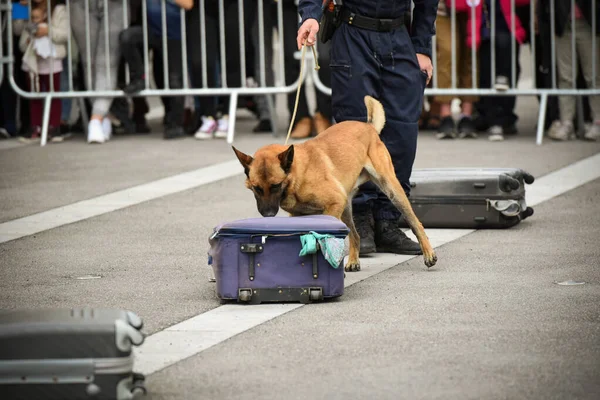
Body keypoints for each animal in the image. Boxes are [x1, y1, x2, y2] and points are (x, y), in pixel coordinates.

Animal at [231, 96, 436, 272]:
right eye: (257, 188)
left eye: (275, 186)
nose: (267, 215)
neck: (298, 173)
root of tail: (368, 127)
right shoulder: (301, 215)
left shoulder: (332, 205)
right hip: (346, 207)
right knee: (355, 235)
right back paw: (353, 261)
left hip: (391, 191)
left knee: (416, 223)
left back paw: (428, 253)